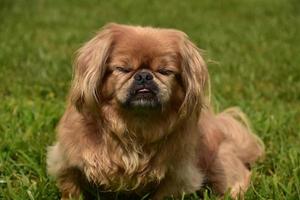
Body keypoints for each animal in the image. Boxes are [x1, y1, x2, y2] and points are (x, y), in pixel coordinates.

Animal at [45, 22, 264, 199]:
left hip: (219, 163)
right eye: (123, 69)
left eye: (165, 72)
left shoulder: (177, 176)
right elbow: (71, 188)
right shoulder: (67, 161)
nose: (144, 76)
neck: (135, 124)